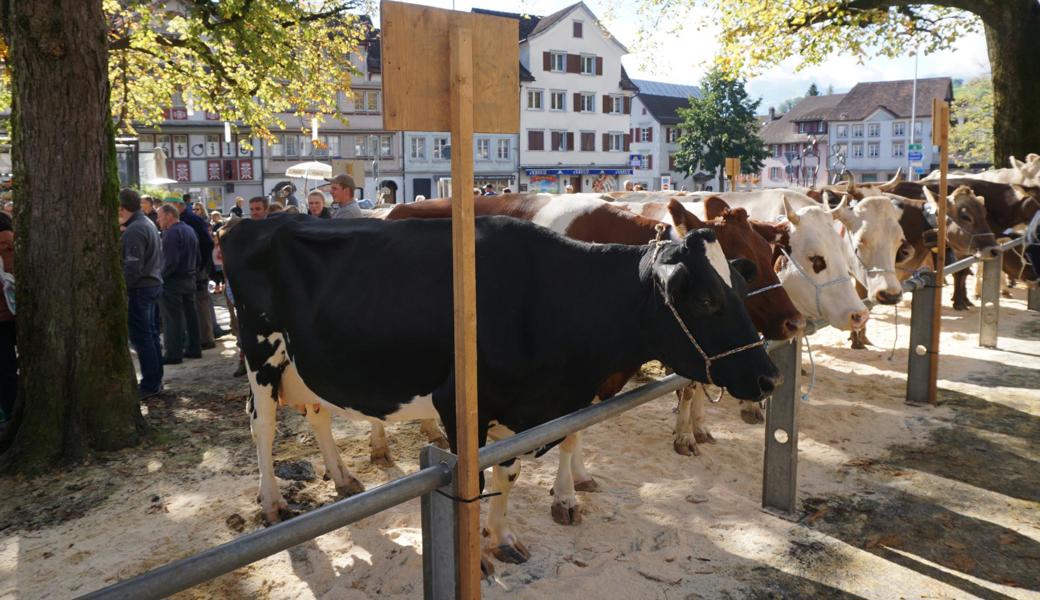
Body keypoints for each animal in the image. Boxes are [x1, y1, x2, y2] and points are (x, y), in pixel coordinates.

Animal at [227, 213, 782, 557]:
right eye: (707, 300)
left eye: (741, 284)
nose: (769, 376)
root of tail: (257, 220)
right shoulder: (459, 406)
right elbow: (475, 483)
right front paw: (480, 555)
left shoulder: (526, 412)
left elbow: (508, 475)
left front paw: (501, 538)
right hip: (261, 355)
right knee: (263, 426)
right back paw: (273, 503)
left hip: (306, 363)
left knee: (318, 412)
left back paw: (343, 479)